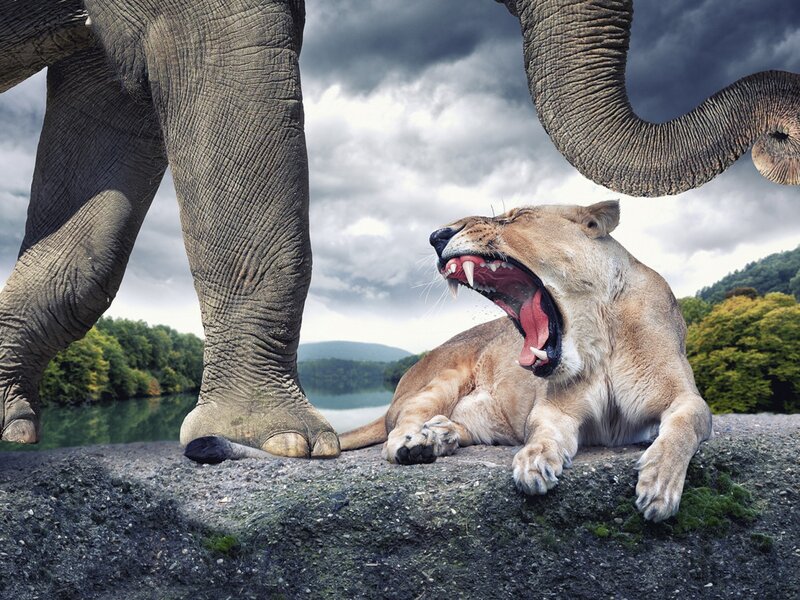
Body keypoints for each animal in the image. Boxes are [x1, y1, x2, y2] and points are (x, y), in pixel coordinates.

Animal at [340, 200, 712, 522]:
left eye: (515, 217)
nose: (436, 236)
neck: (600, 339)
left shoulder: (685, 397)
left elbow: (686, 425)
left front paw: (659, 483)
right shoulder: (554, 408)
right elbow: (543, 432)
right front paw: (535, 461)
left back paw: (441, 434)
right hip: (443, 378)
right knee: (400, 427)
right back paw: (418, 443)